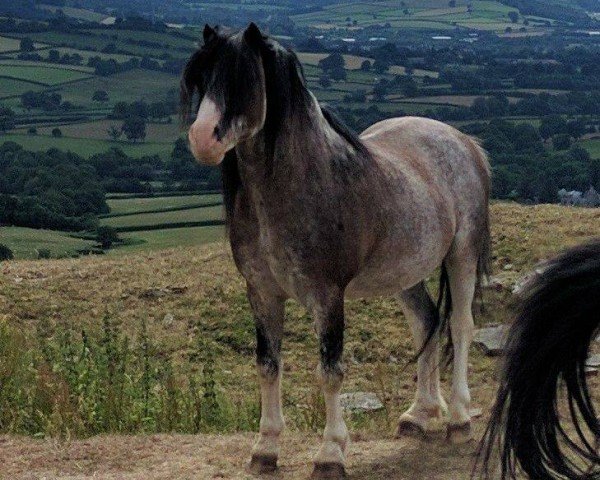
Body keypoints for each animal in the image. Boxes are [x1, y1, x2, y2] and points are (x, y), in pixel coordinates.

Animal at [183, 23, 492, 480]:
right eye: (201, 80)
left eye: (244, 79)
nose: (202, 139)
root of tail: (464, 141)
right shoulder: (261, 293)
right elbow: (267, 365)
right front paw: (265, 449)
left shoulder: (327, 296)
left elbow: (330, 372)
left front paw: (330, 454)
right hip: (405, 272)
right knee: (426, 323)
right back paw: (418, 416)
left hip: (461, 255)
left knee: (460, 325)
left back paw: (457, 420)